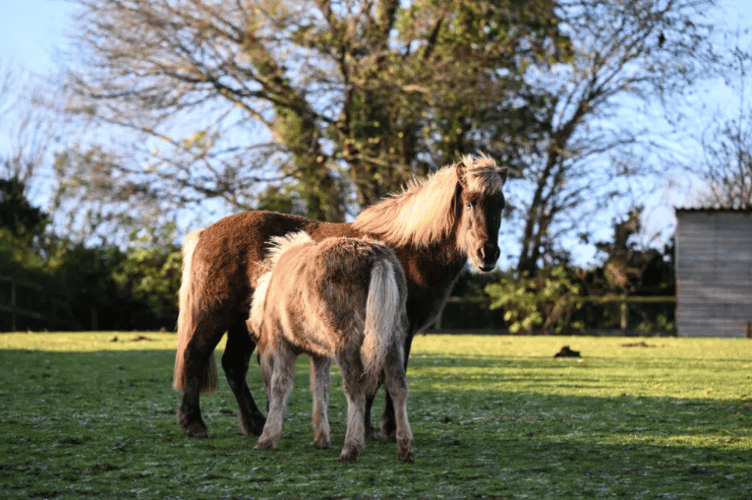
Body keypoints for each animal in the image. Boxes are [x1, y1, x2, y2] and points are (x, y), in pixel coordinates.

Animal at [173, 154, 508, 439]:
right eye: (470, 202)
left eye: (500, 205)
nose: (487, 254)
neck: (409, 250)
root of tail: (206, 232)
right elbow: (381, 375)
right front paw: (379, 428)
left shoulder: (402, 328)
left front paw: (380, 427)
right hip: (215, 313)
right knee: (195, 354)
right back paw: (194, 424)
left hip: (242, 321)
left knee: (233, 365)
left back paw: (255, 424)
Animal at [247, 232, 413, 463]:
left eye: (259, 361)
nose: (267, 404)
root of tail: (377, 257)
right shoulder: (321, 353)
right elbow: (320, 387)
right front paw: (321, 439)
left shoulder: (282, 344)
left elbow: (282, 383)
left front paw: (267, 438)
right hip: (393, 337)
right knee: (398, 385)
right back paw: (405, 449)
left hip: (346, 340)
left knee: (355, 385)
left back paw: (350, 448)